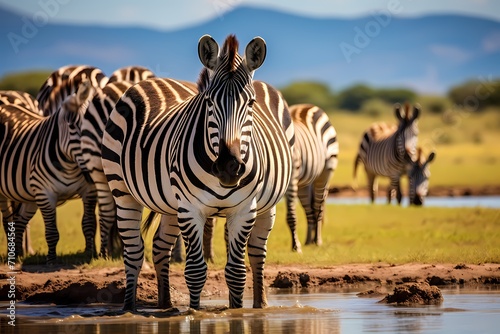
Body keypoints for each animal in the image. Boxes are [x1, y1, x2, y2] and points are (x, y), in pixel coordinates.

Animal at [0, 81, 97, 264]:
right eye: (72, 126)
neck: (69, 165)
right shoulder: (45, 194)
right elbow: (52, 232)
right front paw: (51, 260)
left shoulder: (88, 191)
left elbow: (88, 224)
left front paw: (90, 253)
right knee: (8, 221)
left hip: (28, 195)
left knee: (20, 222)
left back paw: (18, 254)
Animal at [103, 34, 294, 310]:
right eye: (209, 102)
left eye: (251, 103)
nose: (229, 166)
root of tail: (150, 80)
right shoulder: (190, 208)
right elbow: (194, 271)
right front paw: (194, 311)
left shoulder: (244, 209)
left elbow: (236, 272)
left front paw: (238, 311)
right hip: (123, 190)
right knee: (135, 252)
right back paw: (130, 309)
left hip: (260, 205)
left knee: (255, 253)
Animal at [284, 103, 338, 252]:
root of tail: (309, 106)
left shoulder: (291, 180)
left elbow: (291, 216)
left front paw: (295, 247)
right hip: (304, 184)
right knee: (309, 209)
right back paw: (309, 241)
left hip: (325, 173)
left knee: (318, 208)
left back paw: (317, 240)